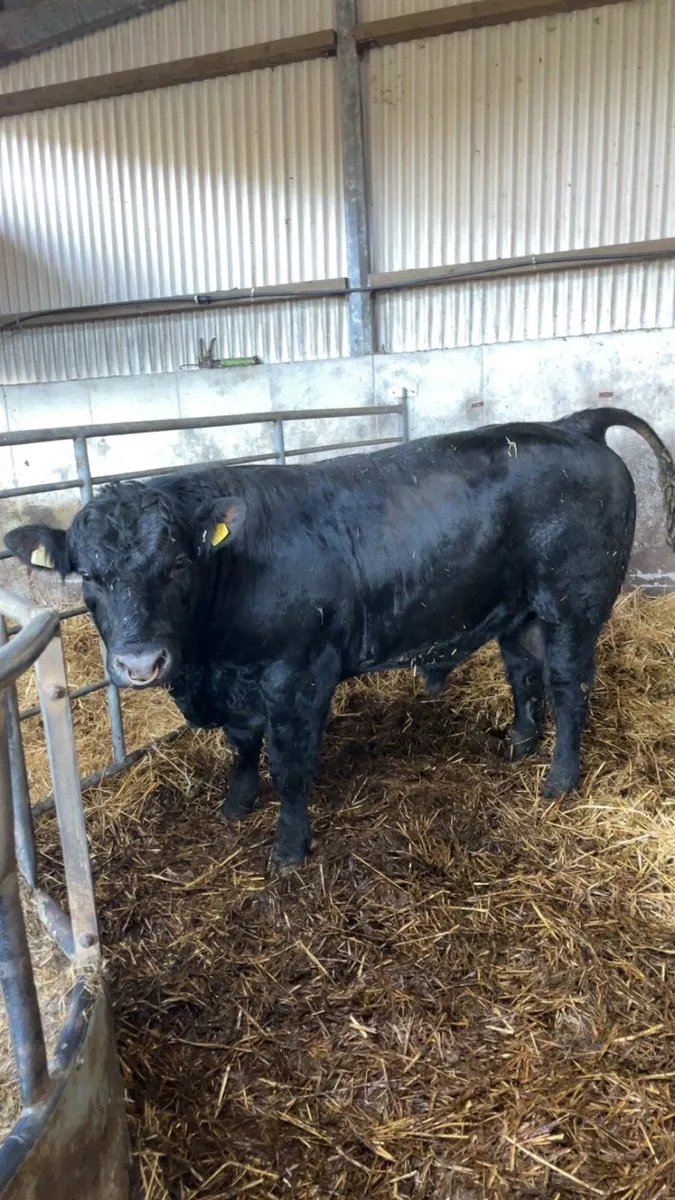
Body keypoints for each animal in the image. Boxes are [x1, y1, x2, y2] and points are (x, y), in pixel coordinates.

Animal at [5, 407, 675, 868]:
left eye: (175, 566)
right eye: (88, 575)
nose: (140, 663)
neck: (209, 664)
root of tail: (573, 424)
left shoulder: (294, 675)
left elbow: (288, 762)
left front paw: (289, 846)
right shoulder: (239, 682)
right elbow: (242, 746)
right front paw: (236, 802)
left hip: (574, 607)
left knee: (569, 687)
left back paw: (559, 778)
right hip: (519, 611)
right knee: (522, 672)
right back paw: (520, 742)